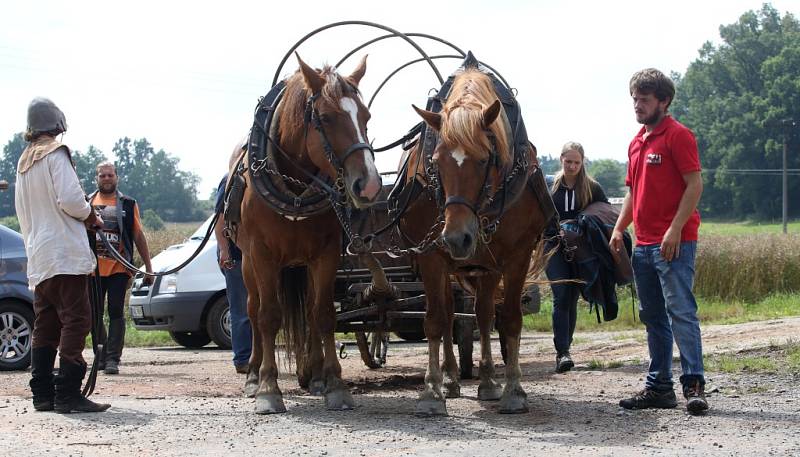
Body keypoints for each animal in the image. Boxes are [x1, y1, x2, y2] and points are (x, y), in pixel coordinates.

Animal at [230, 54, 382, 414]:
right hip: (247, 265)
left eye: (366, 116)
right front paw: (268, 388)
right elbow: (269, 316)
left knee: (311, 311)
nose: (369, 185)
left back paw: (314, 375)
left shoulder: (326, 253)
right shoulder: (261, 254)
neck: (294, 187)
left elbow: (323, 314)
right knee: (254, 311)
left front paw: (335, 384)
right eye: (325, 118)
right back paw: (253, 375)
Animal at [400, 56, 556, 414]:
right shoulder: (432, 256)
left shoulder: (516, 255)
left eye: (485, 158)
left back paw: (486, 381)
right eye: (435, 161)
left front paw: (513, 390)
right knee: (448, 315)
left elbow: (509, 319)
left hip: (487, 266)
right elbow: (434, 319)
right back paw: (451, 379)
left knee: (484, 316)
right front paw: (431, 391)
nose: (458, 238)